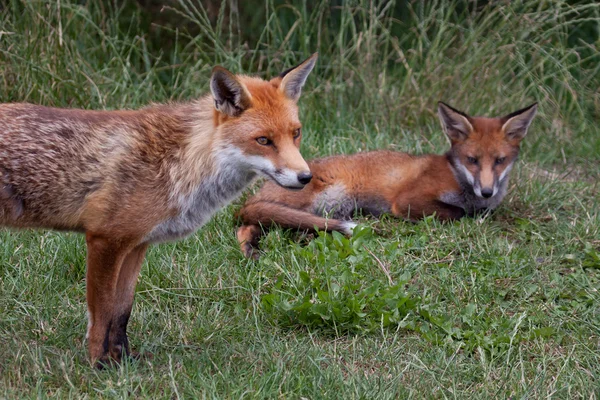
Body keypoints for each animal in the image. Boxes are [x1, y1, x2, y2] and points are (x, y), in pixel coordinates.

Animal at [0, 54, 318, 368]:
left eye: (296, 133)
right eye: (263, 140)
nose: (305, 177)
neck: (183, 162)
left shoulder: (135, 245)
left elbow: (121, 312)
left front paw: (123, 360)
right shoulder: (104, 240)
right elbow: (101, 314)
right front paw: (99, 364)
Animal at [237, 99, 536, 256]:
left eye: (499, 161)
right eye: (472, 160)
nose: (486, 192)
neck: (457, 177)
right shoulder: (408, 201)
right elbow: (458, 213)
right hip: (318, 200)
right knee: (247, 224)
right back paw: (250, 249)